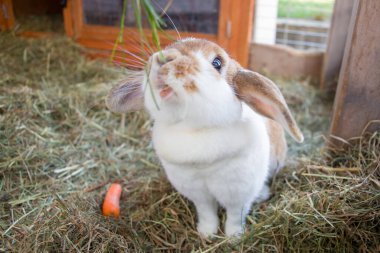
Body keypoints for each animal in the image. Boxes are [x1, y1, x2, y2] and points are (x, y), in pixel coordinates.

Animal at [104, 37, 302, 237]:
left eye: (217, 63)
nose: (163, 58)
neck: (194, 128)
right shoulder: (197, 193)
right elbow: (207, 213)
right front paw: (206, 233)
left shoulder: (239, 194)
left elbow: (235, 216)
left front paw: (233, 237)